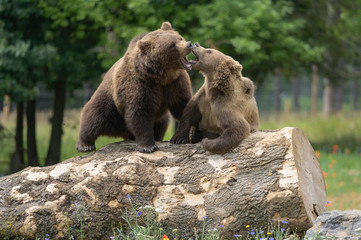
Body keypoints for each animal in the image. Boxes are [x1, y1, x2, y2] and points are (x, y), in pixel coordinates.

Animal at [76, 23, 194, 154]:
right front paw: (148, 146)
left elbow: (183, 104)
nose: (189, 44)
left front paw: (182, 137)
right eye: (172, 44)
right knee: (94, 117)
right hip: (110, 103)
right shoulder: (139, 84)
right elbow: (139, 112)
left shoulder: (175, 83)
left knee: (161, 124)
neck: (161, 75)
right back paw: (85, 144)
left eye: (180, 38)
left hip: (159, 117)